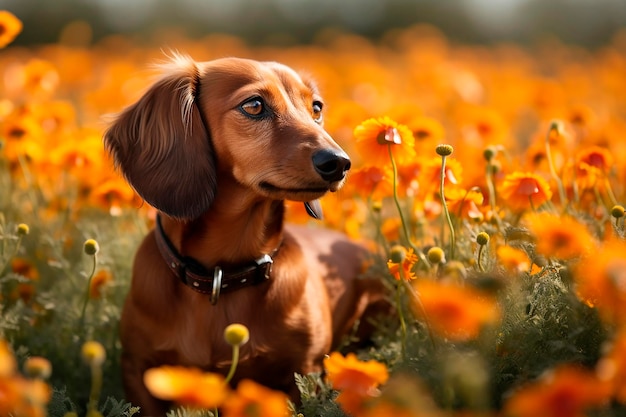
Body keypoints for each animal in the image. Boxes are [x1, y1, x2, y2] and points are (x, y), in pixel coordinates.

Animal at [103, 55, 386, 416]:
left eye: (316, 107)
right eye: (254, 105)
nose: (339, 163)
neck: (220, 278)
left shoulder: (303, 372)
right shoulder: (138, 368)